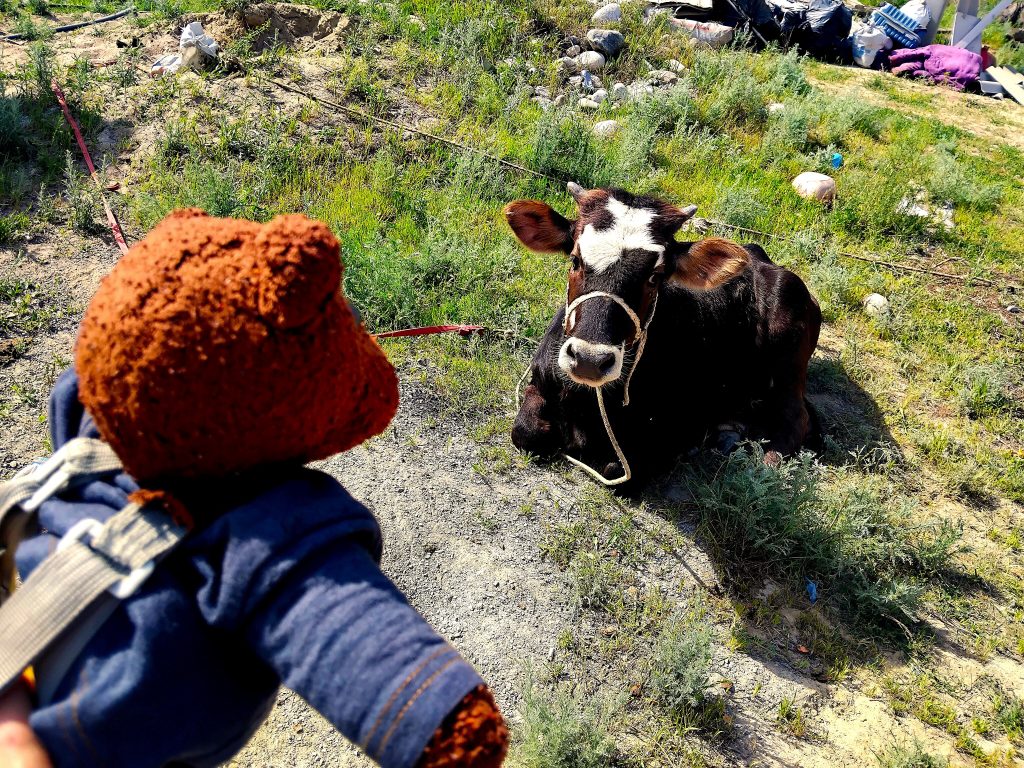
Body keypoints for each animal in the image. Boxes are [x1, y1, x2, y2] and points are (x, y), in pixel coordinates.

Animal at [506, 184, 822, 488]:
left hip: (788, 352)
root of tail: (760, 257)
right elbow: (524, 431)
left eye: (655, 277)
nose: (589, 360)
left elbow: (618, 469)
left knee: (797, 418)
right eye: (575, 260)